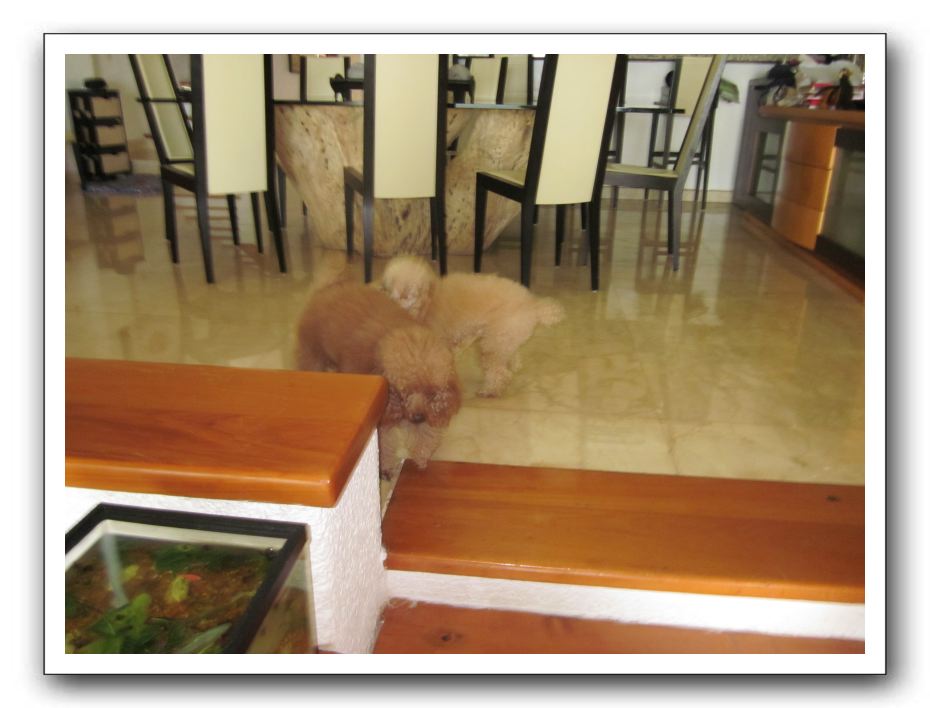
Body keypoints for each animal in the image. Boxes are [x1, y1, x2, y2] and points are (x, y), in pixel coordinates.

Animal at [296, 280, 461, 476]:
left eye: (431, 393)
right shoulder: (381, 421)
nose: (418, 418)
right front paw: (385, 468)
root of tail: (330, 287)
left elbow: (425, 437)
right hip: (312, 357)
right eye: (404, 392)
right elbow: (384, 446)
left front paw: (422, 459)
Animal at [381, 256, 565, 397]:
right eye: (390, 290)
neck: (428, 301)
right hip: (505, 337)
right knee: (512, 357)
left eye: (408, 294)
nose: (393, 303)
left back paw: (490, 391)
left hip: (493, 343)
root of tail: (533, 305)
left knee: (500, 373)